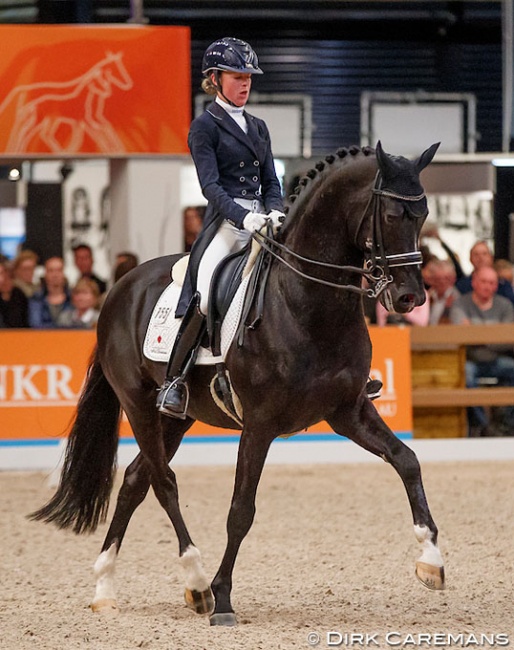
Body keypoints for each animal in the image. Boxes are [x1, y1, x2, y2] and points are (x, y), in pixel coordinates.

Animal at [30, 140, 442, 624]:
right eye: (393, 215)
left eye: (424, 213)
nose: (410, 297)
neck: (306, 303)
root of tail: (118, 289)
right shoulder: (260, 424)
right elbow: (240, 510)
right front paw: (223, 597)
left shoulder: (348, 411)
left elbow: (407, 460)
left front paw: (431, 560)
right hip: (138, 405)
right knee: (163, 482)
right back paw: (196, 583)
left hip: (177, 416)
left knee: (135, 480)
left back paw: (106, 587)